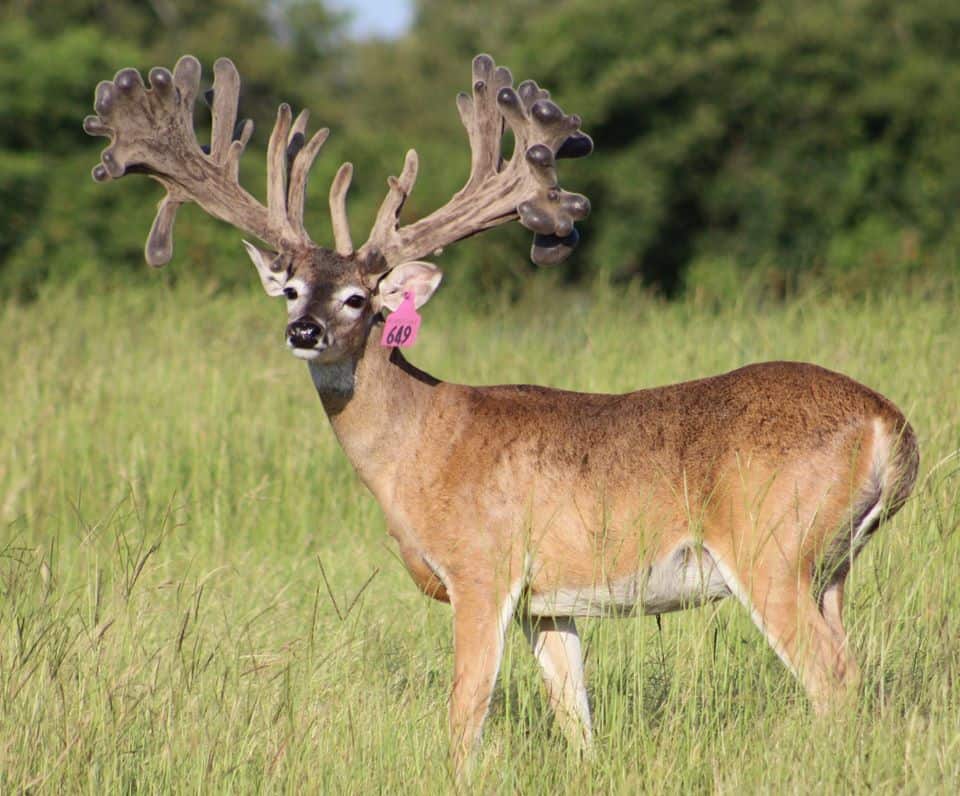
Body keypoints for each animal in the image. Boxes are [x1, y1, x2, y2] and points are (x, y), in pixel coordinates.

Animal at [85, 54, 919, 774]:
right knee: (856, 672)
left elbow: (464, 716)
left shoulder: (482, 568)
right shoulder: (548, 603)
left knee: (833, 679)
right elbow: (575, 717)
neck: (421, 444)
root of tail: (888, 421)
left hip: (771, 547)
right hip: (833, 563)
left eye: (358, 298)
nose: (304, 331)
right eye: (290, 289)